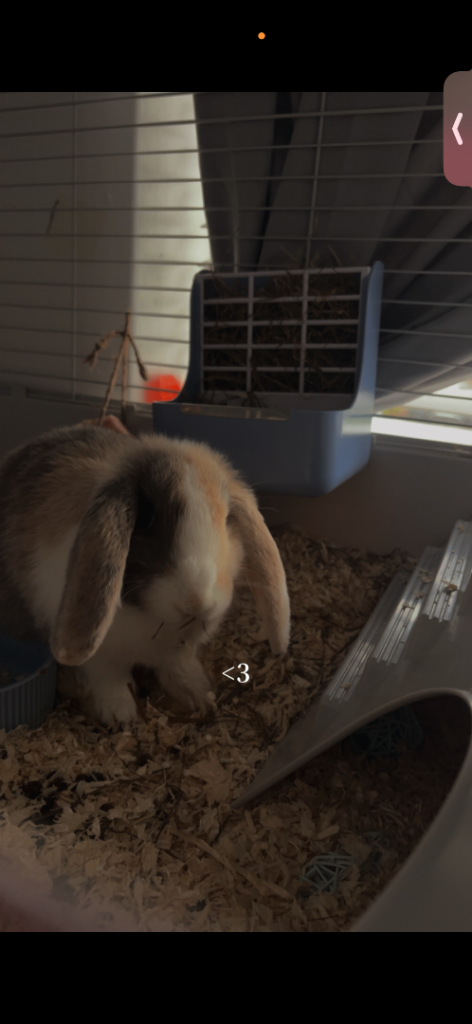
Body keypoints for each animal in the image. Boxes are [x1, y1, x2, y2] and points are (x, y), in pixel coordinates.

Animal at [0, 423, 291, 727]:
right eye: (149, 520)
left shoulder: (179, 651)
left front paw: (200, 694)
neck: (155, 620)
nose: (196, 603)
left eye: (226, 520)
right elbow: (110, 679)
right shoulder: (100, 659)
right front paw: (121, 716)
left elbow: (178, 668)